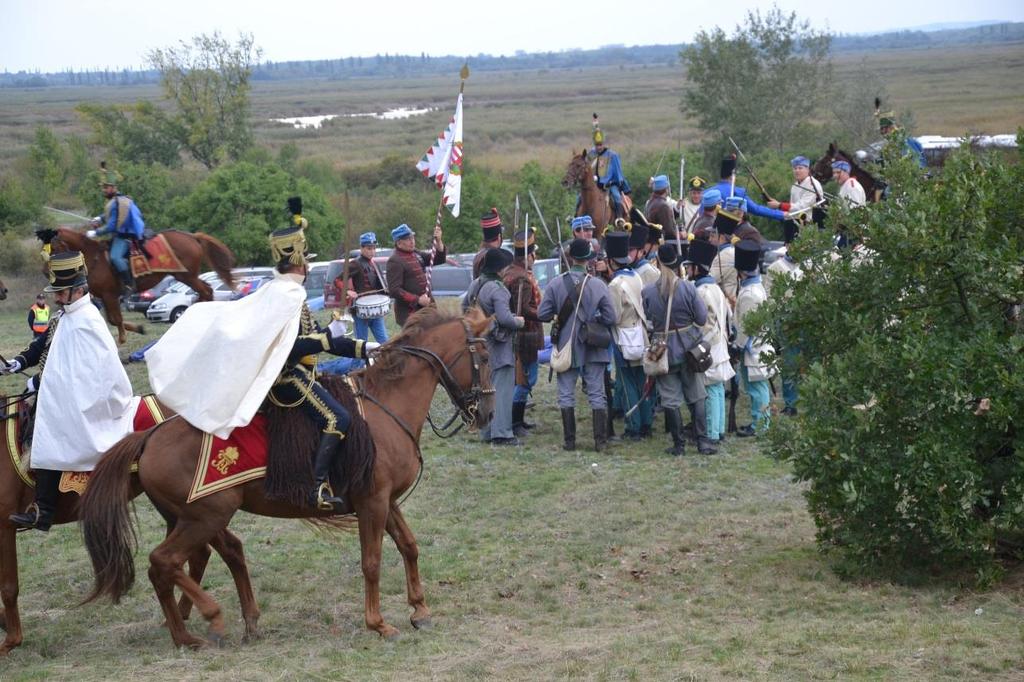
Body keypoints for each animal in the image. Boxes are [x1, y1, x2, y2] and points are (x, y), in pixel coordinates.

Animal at [0, 393, 260, 655]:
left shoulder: (4, 527)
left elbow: (9, 586)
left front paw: (11, 640)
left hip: (197, 506)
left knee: (208, 552)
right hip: (183, 507)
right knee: (208, 552)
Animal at [36, 229, 235, 346]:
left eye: (54, 248)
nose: (45, 272)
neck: (94, 258)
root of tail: (192, 236)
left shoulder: (109, 295)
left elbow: (116, 319)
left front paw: (122, 339)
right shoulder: (104, 296)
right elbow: (112, 319)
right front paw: (138, 329)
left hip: (186, 276)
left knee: (205, 291)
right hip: (188, 276)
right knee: (206, 290)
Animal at [78, 307, 491, 647]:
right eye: (485, 356)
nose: (485, 413)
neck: (385, 407)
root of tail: (150, 435)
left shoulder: (385, 501)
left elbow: (409, 546)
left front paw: (419, 609)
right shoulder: (372, 502)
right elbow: (371, 561)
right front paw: (379, 624)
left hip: (194, 517)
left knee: (192, 561)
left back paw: (196, 634)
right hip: (204, 516)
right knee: (164, 561)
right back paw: (212, 618)